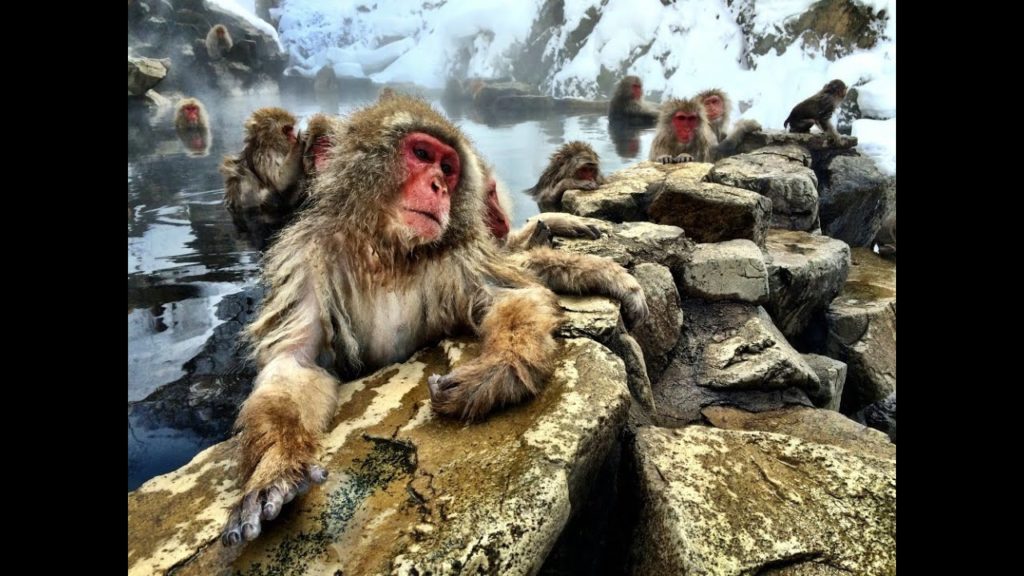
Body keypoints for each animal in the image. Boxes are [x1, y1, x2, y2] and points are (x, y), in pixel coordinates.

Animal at [220, 107, 304, 249]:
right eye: (287, 130)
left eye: (291, 129)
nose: (293, 137)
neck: (266, 143)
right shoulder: (265, 156)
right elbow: (280, 181)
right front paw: (298, 145)